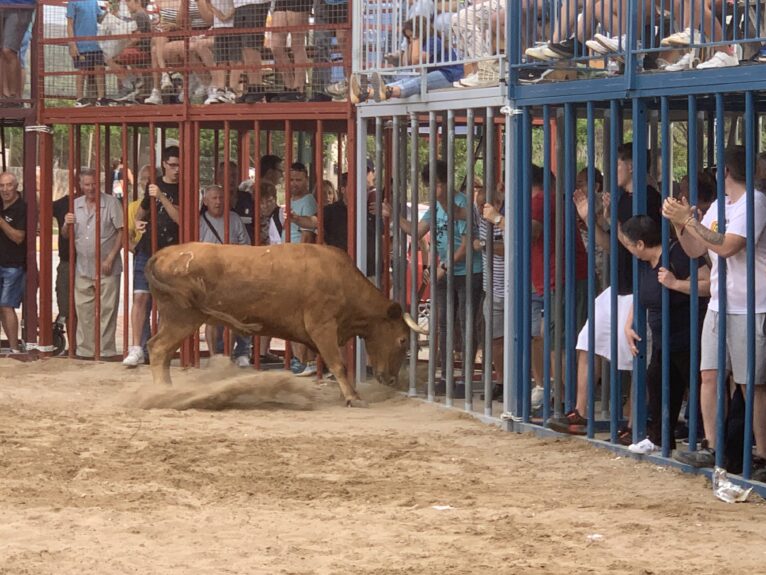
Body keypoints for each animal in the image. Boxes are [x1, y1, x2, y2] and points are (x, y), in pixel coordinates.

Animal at [144, 241, 426, 408]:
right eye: (402, 340)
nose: (391, 380)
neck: (342, 280)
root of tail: (162, 255)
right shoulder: (322, 326)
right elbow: (338, 363)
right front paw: (353, 397)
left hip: (174, 319)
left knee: (162, 351)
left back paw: (168, 390)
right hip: (183, 318)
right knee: (158, 349)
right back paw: (161, 393)